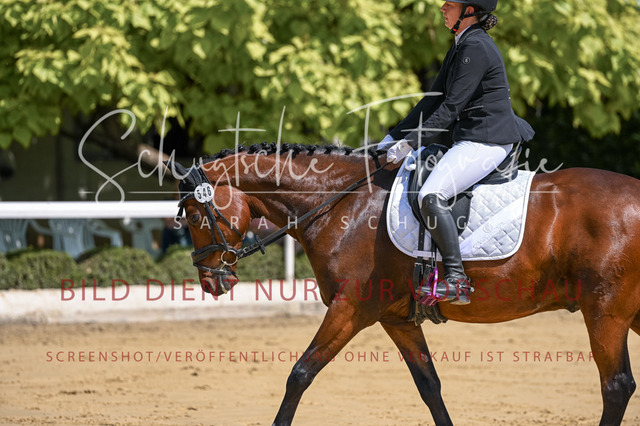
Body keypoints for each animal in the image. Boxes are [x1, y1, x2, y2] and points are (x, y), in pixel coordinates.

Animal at [166, 142, 639, 426]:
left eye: (195, 216)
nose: (210, 282)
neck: (342, 203)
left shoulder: (350, 309)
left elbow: (299, 374)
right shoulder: (398, 319)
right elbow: (430, 386)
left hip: (606, 311)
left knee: (616, 387)